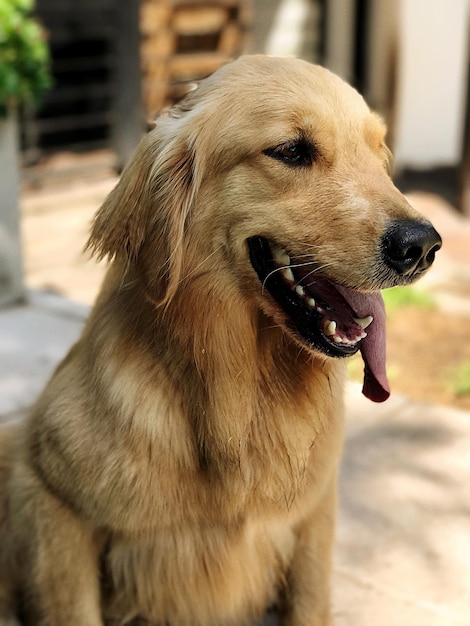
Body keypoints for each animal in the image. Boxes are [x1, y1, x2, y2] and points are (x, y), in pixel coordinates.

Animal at [0, 56, 440, 620]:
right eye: (291, 150)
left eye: (377, 152)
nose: (423, 245)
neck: (239, 396)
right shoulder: (53, 501)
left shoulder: (314, 515)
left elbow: (310, 601)